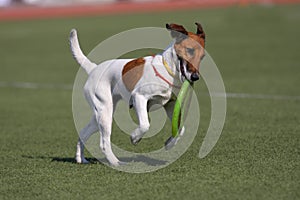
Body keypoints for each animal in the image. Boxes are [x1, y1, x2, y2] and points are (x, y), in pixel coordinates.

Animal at [69, 22, 205, 166]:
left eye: (202, 56)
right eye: (190, 50)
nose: (195, 77)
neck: (167, 69)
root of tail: (94, 68)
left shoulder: (170, 104)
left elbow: (181, 129)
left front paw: (169, 143)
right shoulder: (139, 97)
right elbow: (145, 125)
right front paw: (135, 137)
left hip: (100, 115)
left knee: (84, 132)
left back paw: (81, 159)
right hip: (105, 112)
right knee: (104, 142)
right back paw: (116, 162)